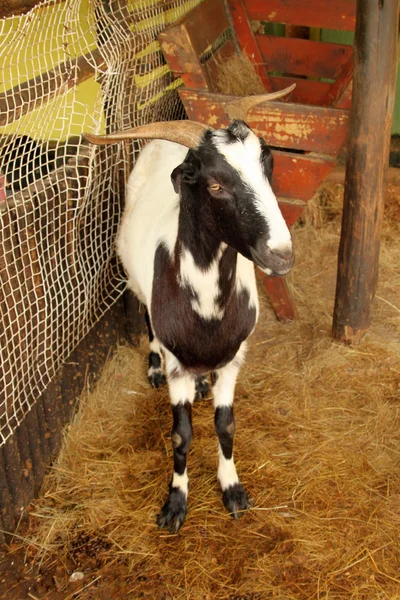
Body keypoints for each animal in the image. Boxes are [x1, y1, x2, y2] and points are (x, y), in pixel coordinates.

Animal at [86, 84, 296, 536]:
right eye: (214, 185)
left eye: (267, 166)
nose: (281, 255)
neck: (208, 313)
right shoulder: (177, 363)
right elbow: (182, 435)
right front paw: (175, 504)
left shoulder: (234, 358)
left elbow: (226, 425)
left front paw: (233, 490)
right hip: (135, 283)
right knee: (146, 317)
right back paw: (152, 367)